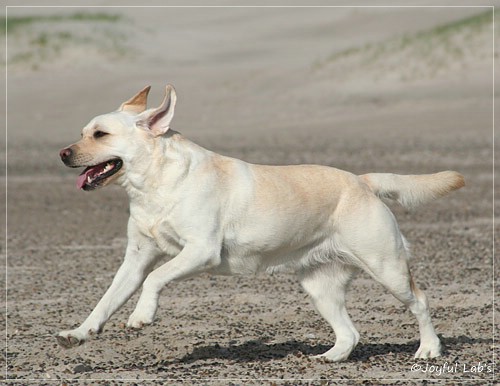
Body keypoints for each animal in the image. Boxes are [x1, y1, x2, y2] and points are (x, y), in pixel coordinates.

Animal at [58, 85, 464, 362]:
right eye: (81, 132)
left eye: (101, 134)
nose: (62, 153)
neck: (155, 185)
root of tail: (362, 181)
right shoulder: (136, 258)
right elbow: (106, 300)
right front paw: (79, 333)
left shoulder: (200, 251)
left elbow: (155, 279)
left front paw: (142, 315)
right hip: (320, 287)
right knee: (349, 333)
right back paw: (330, 357)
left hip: (387, 267)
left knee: (420, 301)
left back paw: (429, 349)